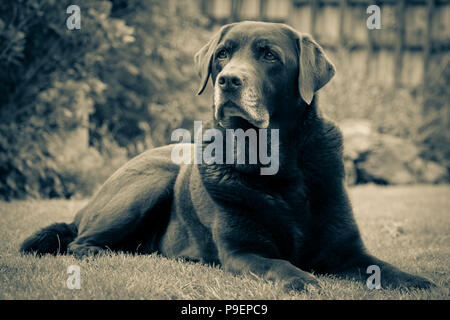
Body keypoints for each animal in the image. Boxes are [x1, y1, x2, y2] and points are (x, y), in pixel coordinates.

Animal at [20, 21, 432, 292]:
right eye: (222, 54)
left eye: (269, 55)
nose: (229, 80)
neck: (277, 166)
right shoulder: (243, 252)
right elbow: (282, 266)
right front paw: (304, 279)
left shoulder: (348, 251)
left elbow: (386, 269)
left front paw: (417, 281)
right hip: (152, 181)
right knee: (80, 243)